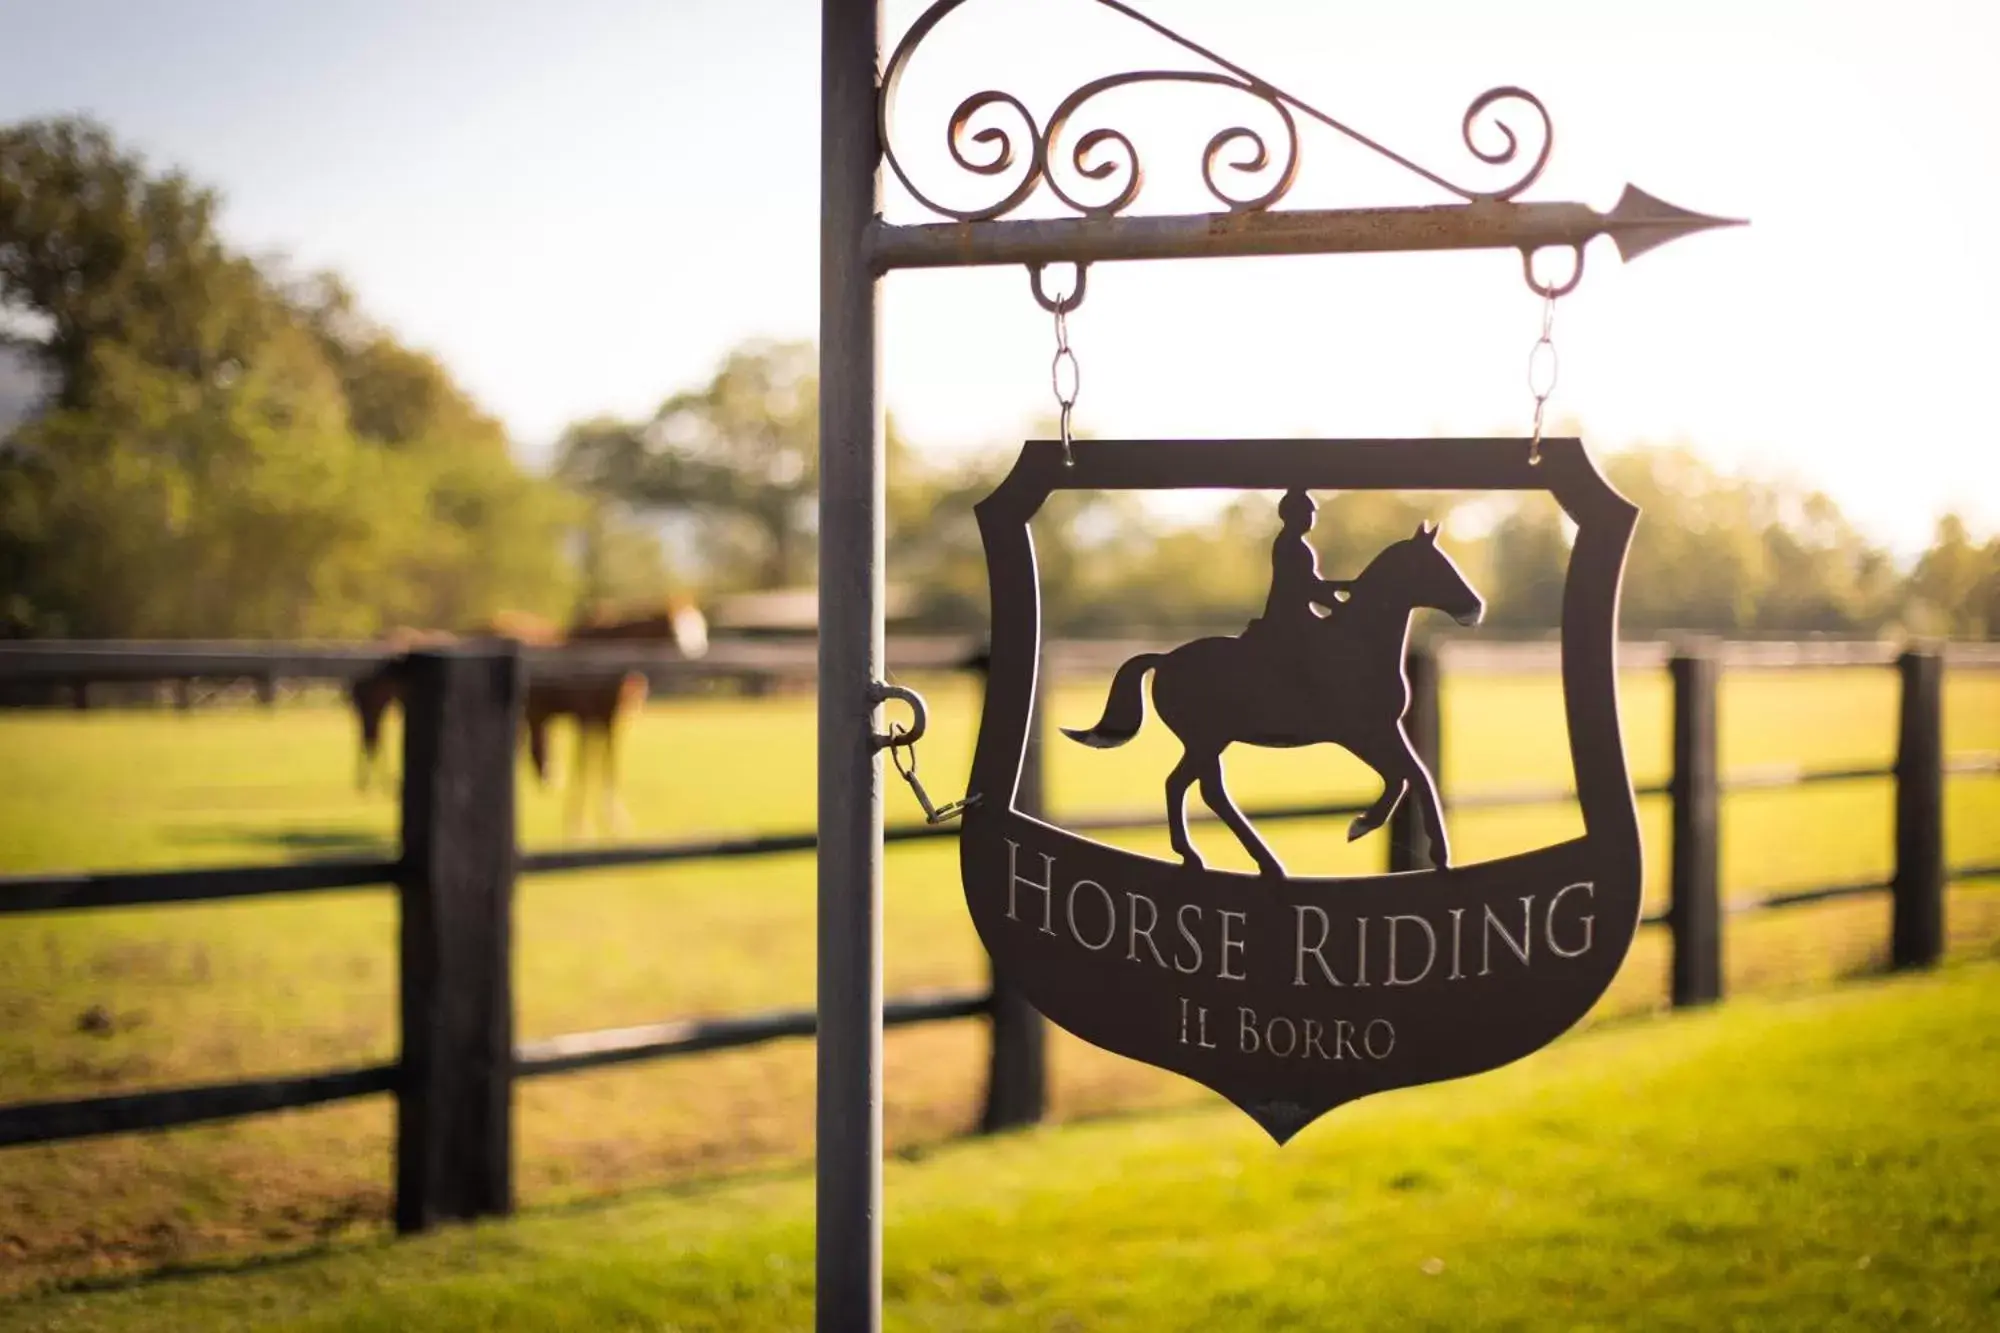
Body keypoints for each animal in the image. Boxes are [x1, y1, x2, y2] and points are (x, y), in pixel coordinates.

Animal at [1072, 504, 1480, 876]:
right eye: (1436, 566)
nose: (1475, 608)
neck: (1357, 643)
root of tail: (1165, 659)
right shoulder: (1360, 734)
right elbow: (1404, 776)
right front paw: (1363, 826)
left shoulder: (1384, 730)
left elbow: (1414, 775)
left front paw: (1428, 850)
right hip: (1205, 740)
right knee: (1193, 788)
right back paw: (1224, 859)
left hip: (1208, 741)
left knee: (1197, 789)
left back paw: (1240, 860)